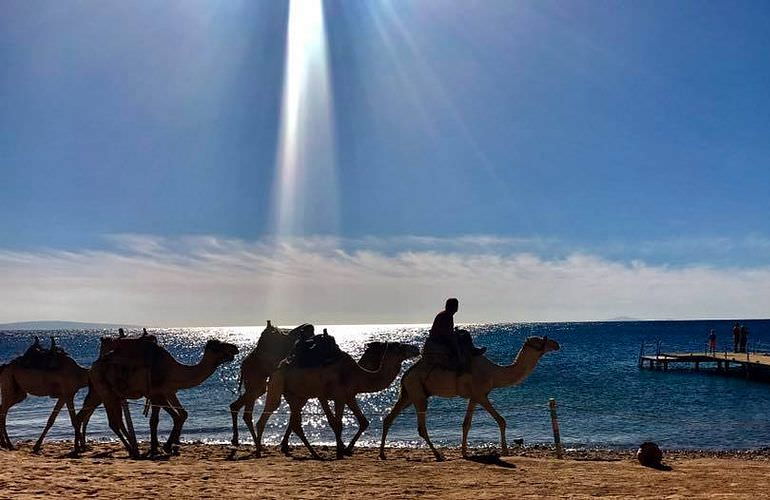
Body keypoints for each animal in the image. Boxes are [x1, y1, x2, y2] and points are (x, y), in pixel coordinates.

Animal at [81, 336, 237, 458]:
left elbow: (178, 415)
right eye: (218, 347)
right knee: (113, 421)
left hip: (108, 394)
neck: (173, 371)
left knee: (115, 420)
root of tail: (92, 367)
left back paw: (133, 449)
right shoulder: (156, 393)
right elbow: (170, 417)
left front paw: (162, 448)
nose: (235, 348)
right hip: (106, 391)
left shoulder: (169, 391)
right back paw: (132, 450)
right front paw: (165, 447)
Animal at [255, 342, 416, 458]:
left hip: (297, 396)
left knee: (295, 423)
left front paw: (344, 449)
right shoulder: (331, 395)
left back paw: (313, 453)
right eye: (400, 346)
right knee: (268, 414)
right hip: (278, 384)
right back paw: (259, 452)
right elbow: (337, 423)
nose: (416, 348)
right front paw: (342, 450)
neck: (357, 375)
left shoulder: (347, 397)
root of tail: (279, 366)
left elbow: (360, 422)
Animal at [378, 336, 560, 460]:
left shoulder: (474, 397)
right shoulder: (480, 394)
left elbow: (466, 424)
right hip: (418, 394)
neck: (495, 373)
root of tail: (405, 374)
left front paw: (464, 452)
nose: (556, 344)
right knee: (420, 427)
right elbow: (501, 420)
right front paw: (505, 451)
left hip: (408, 394)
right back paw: (438, 455)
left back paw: (382, 454)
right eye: (540, 340)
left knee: (389, 418)